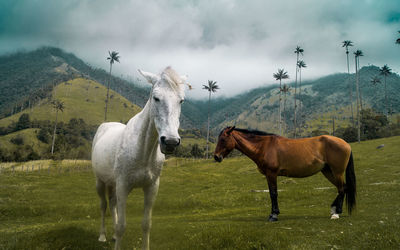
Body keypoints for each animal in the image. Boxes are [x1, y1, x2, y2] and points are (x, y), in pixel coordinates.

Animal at [92, 67, 188, 250]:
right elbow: (122, 226)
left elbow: (146, 224)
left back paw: (111, 236)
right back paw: (101, 236)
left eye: (181, 101)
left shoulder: (151, 187)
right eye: (156, 98)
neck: (142, 150)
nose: (170, 142)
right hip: (100, 181)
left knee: (112, 203)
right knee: (103, 205)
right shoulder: (123, 186)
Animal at [212, 127, 356, 221]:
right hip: (327, 171)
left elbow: (273, 194)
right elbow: (271, 193)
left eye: (223, 139)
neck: (263, 147)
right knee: (342, 188)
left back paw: (336, 213)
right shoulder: (268, 175)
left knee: (342, 189)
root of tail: (345, 143)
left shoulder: (272, 174)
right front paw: (272, 214)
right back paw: (334, 209)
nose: (216, 157)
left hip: (337, 172)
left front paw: (274, 215)